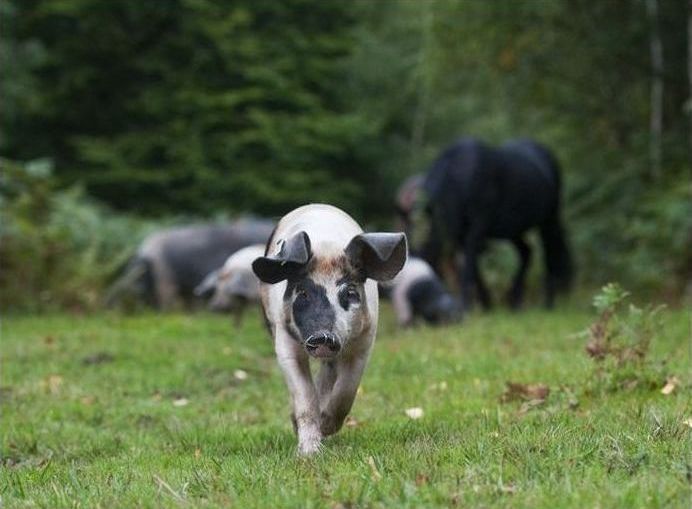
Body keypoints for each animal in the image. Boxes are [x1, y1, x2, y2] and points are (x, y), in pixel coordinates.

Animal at [253, 202, 406, 452]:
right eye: (302, 292)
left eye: (350, 292)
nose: (323, 336)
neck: (326, 249)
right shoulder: (284, 339)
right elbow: (304, 398)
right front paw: (309, 453)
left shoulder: (363, 343)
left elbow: (346, 392)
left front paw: (326, 428)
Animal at [410, 137, 572, 308]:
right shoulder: (461, 234)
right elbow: (472, 265)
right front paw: (486, 303)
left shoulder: (477, 227)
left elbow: (468, 266)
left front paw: (467, 305)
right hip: (513, 230)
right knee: (526, 252)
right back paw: (515, 302)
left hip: (549, 220)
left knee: (550, 255)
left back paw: (548, 303)